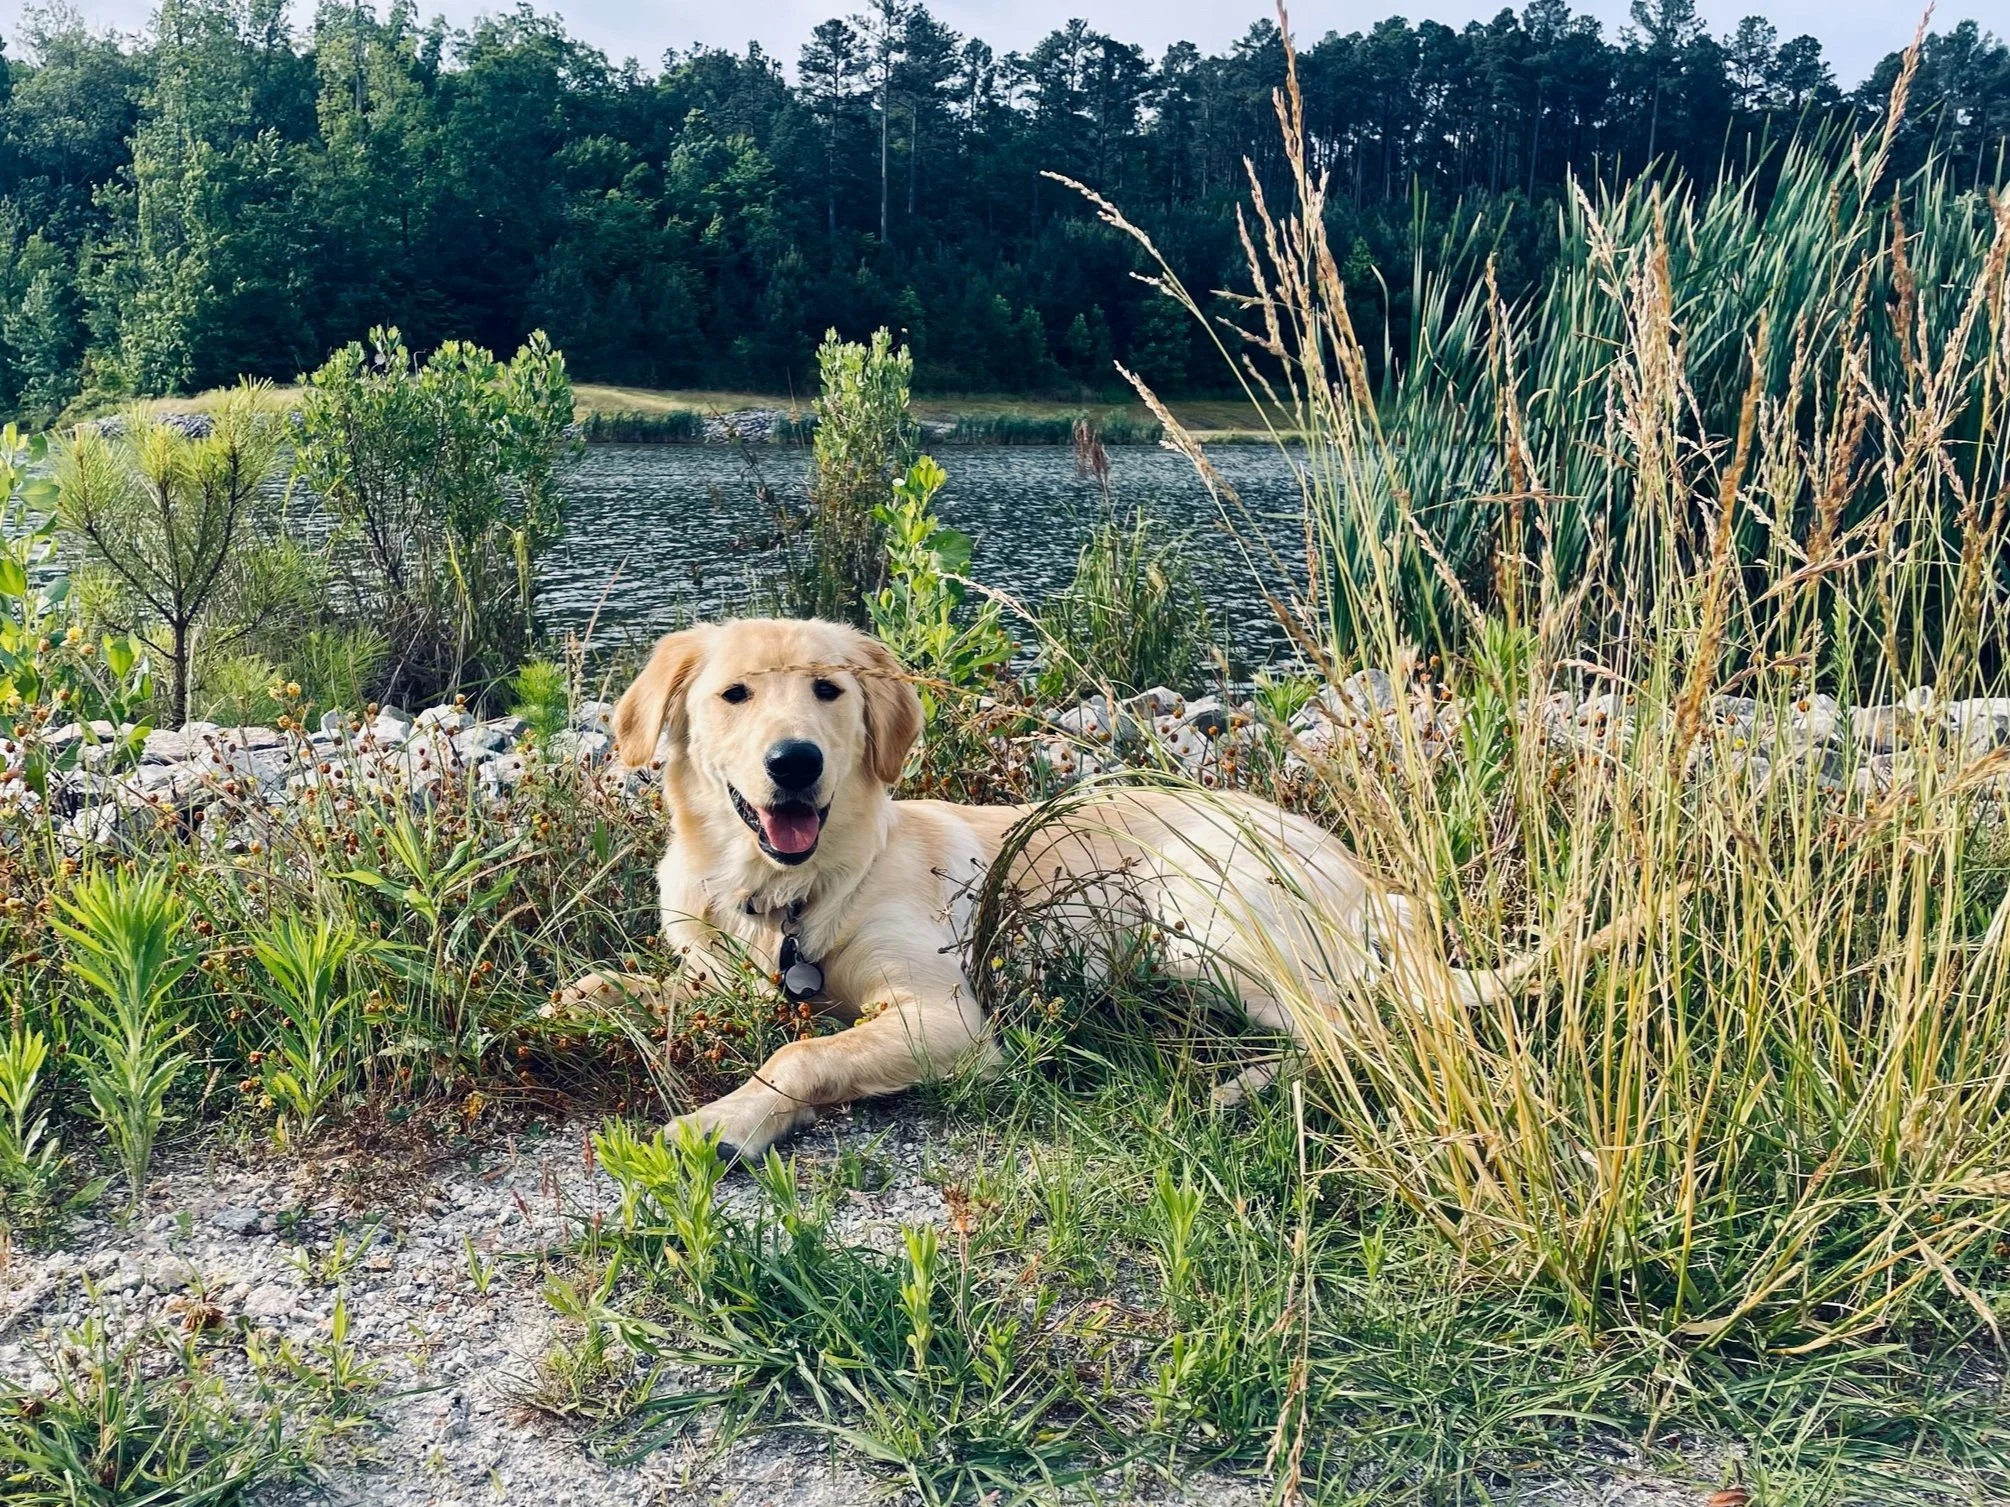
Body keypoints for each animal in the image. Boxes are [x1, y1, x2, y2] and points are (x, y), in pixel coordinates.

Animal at [562, 617, 1567, 1159]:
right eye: (735, 695)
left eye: (827, 691)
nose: (796, 762)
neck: (785, 896)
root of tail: (1371, 882)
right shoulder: (720, 963)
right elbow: (636, 985)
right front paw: (581, 997)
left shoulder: (947, 1016)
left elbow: (803, 1052)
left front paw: (725, 1118)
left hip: (1199, 906)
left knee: (1357, 1032)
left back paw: (1237, 1091)